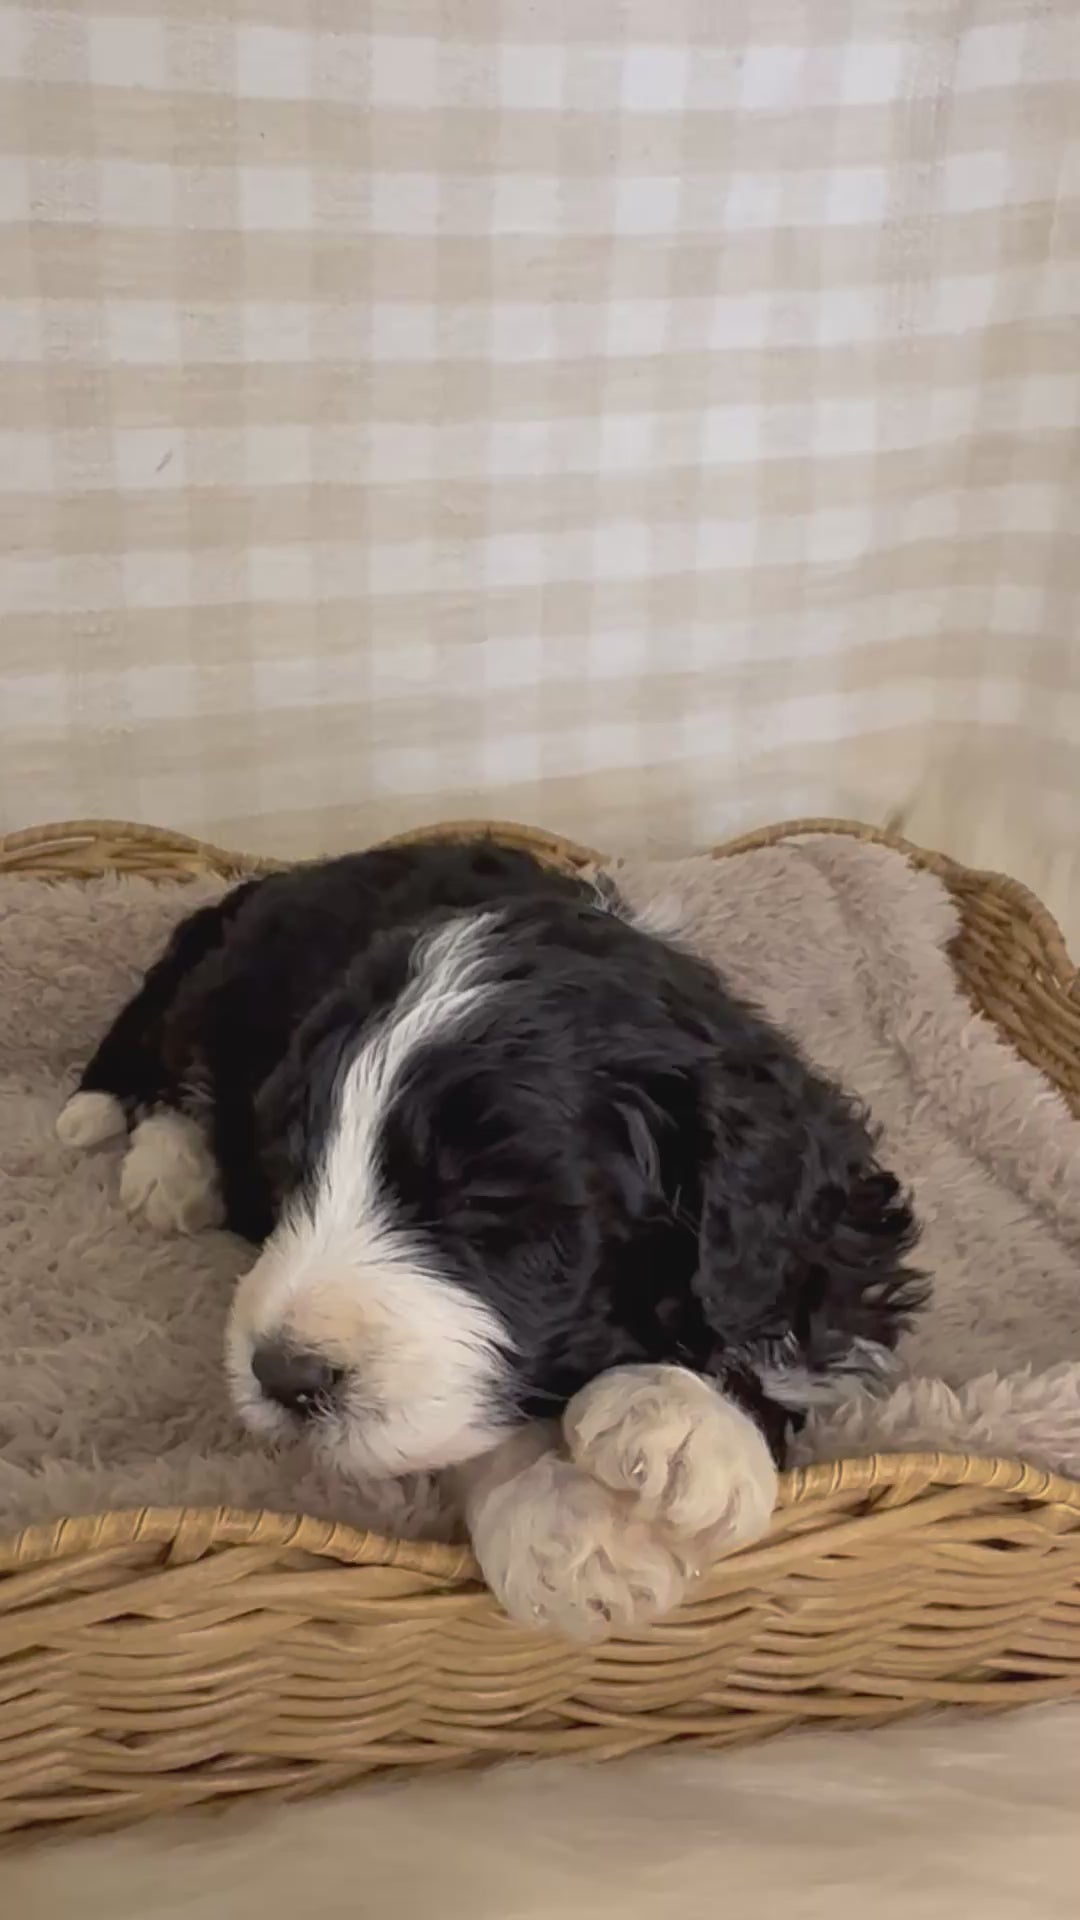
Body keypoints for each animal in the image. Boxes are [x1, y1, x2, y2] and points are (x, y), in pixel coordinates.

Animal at [58, 838, 925, 1637]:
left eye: (485, 1202)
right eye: (287, 1171)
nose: (283, 1376)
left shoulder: (837, 1239)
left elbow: (781, 1330)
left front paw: (683, 1422)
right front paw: (572, 1534)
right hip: (220, 991)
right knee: (175, 1069)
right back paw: (168, 1172)